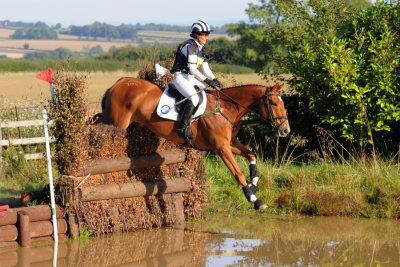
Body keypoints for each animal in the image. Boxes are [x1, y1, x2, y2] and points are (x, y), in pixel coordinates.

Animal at [101, 78, 290, 211]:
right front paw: (255, 200)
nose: (285, 130)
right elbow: (238, 174)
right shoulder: (221, 148)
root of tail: (116, 84)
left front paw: (254, 185)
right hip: (117, 124)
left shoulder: (230, 143)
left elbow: (251, 154)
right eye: (274, 103)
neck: (226, 108)